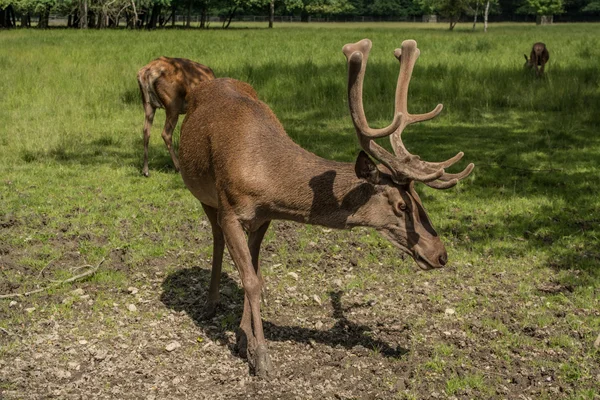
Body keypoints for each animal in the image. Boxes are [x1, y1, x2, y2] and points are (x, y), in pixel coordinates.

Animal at [177, 39, 474, 376]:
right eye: (401, 205)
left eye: (420, 200)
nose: (440, 254)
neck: (264, 174)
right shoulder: (229, 207)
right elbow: (250, 280)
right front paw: (262, 359)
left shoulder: (264, 216)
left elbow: (254, 275)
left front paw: (244, 339)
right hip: (204, 194)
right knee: (215, 237)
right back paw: (210, 303)